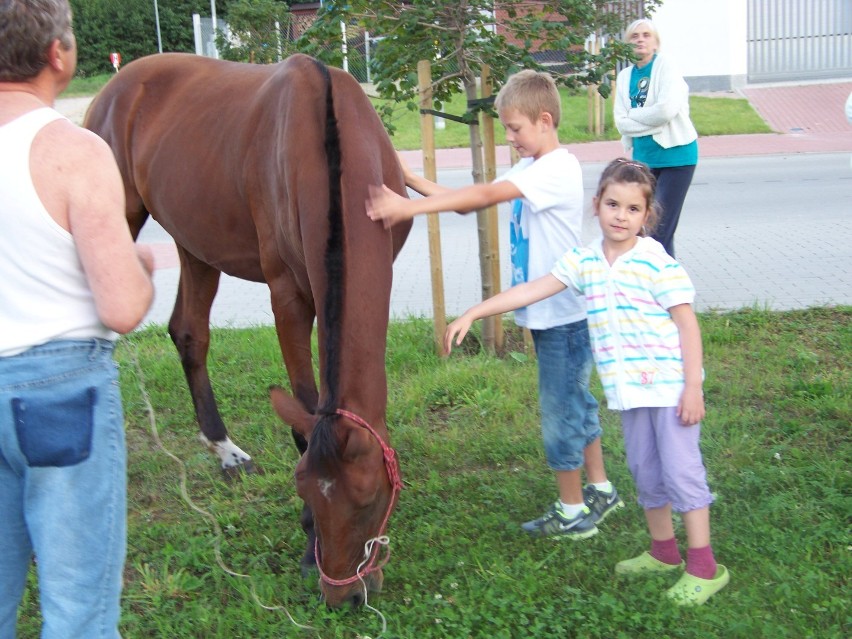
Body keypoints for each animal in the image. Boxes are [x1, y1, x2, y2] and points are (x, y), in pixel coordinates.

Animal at [85, 52, 412, 608]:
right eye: (305, 491)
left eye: (370, 497)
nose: (343, 596)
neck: (329, 141)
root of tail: (118, 83)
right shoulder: (289, 298)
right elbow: (303, 417)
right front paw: (307, 548)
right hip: (118, 220)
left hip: (193, 242)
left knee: (189, 333)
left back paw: (225, 449)